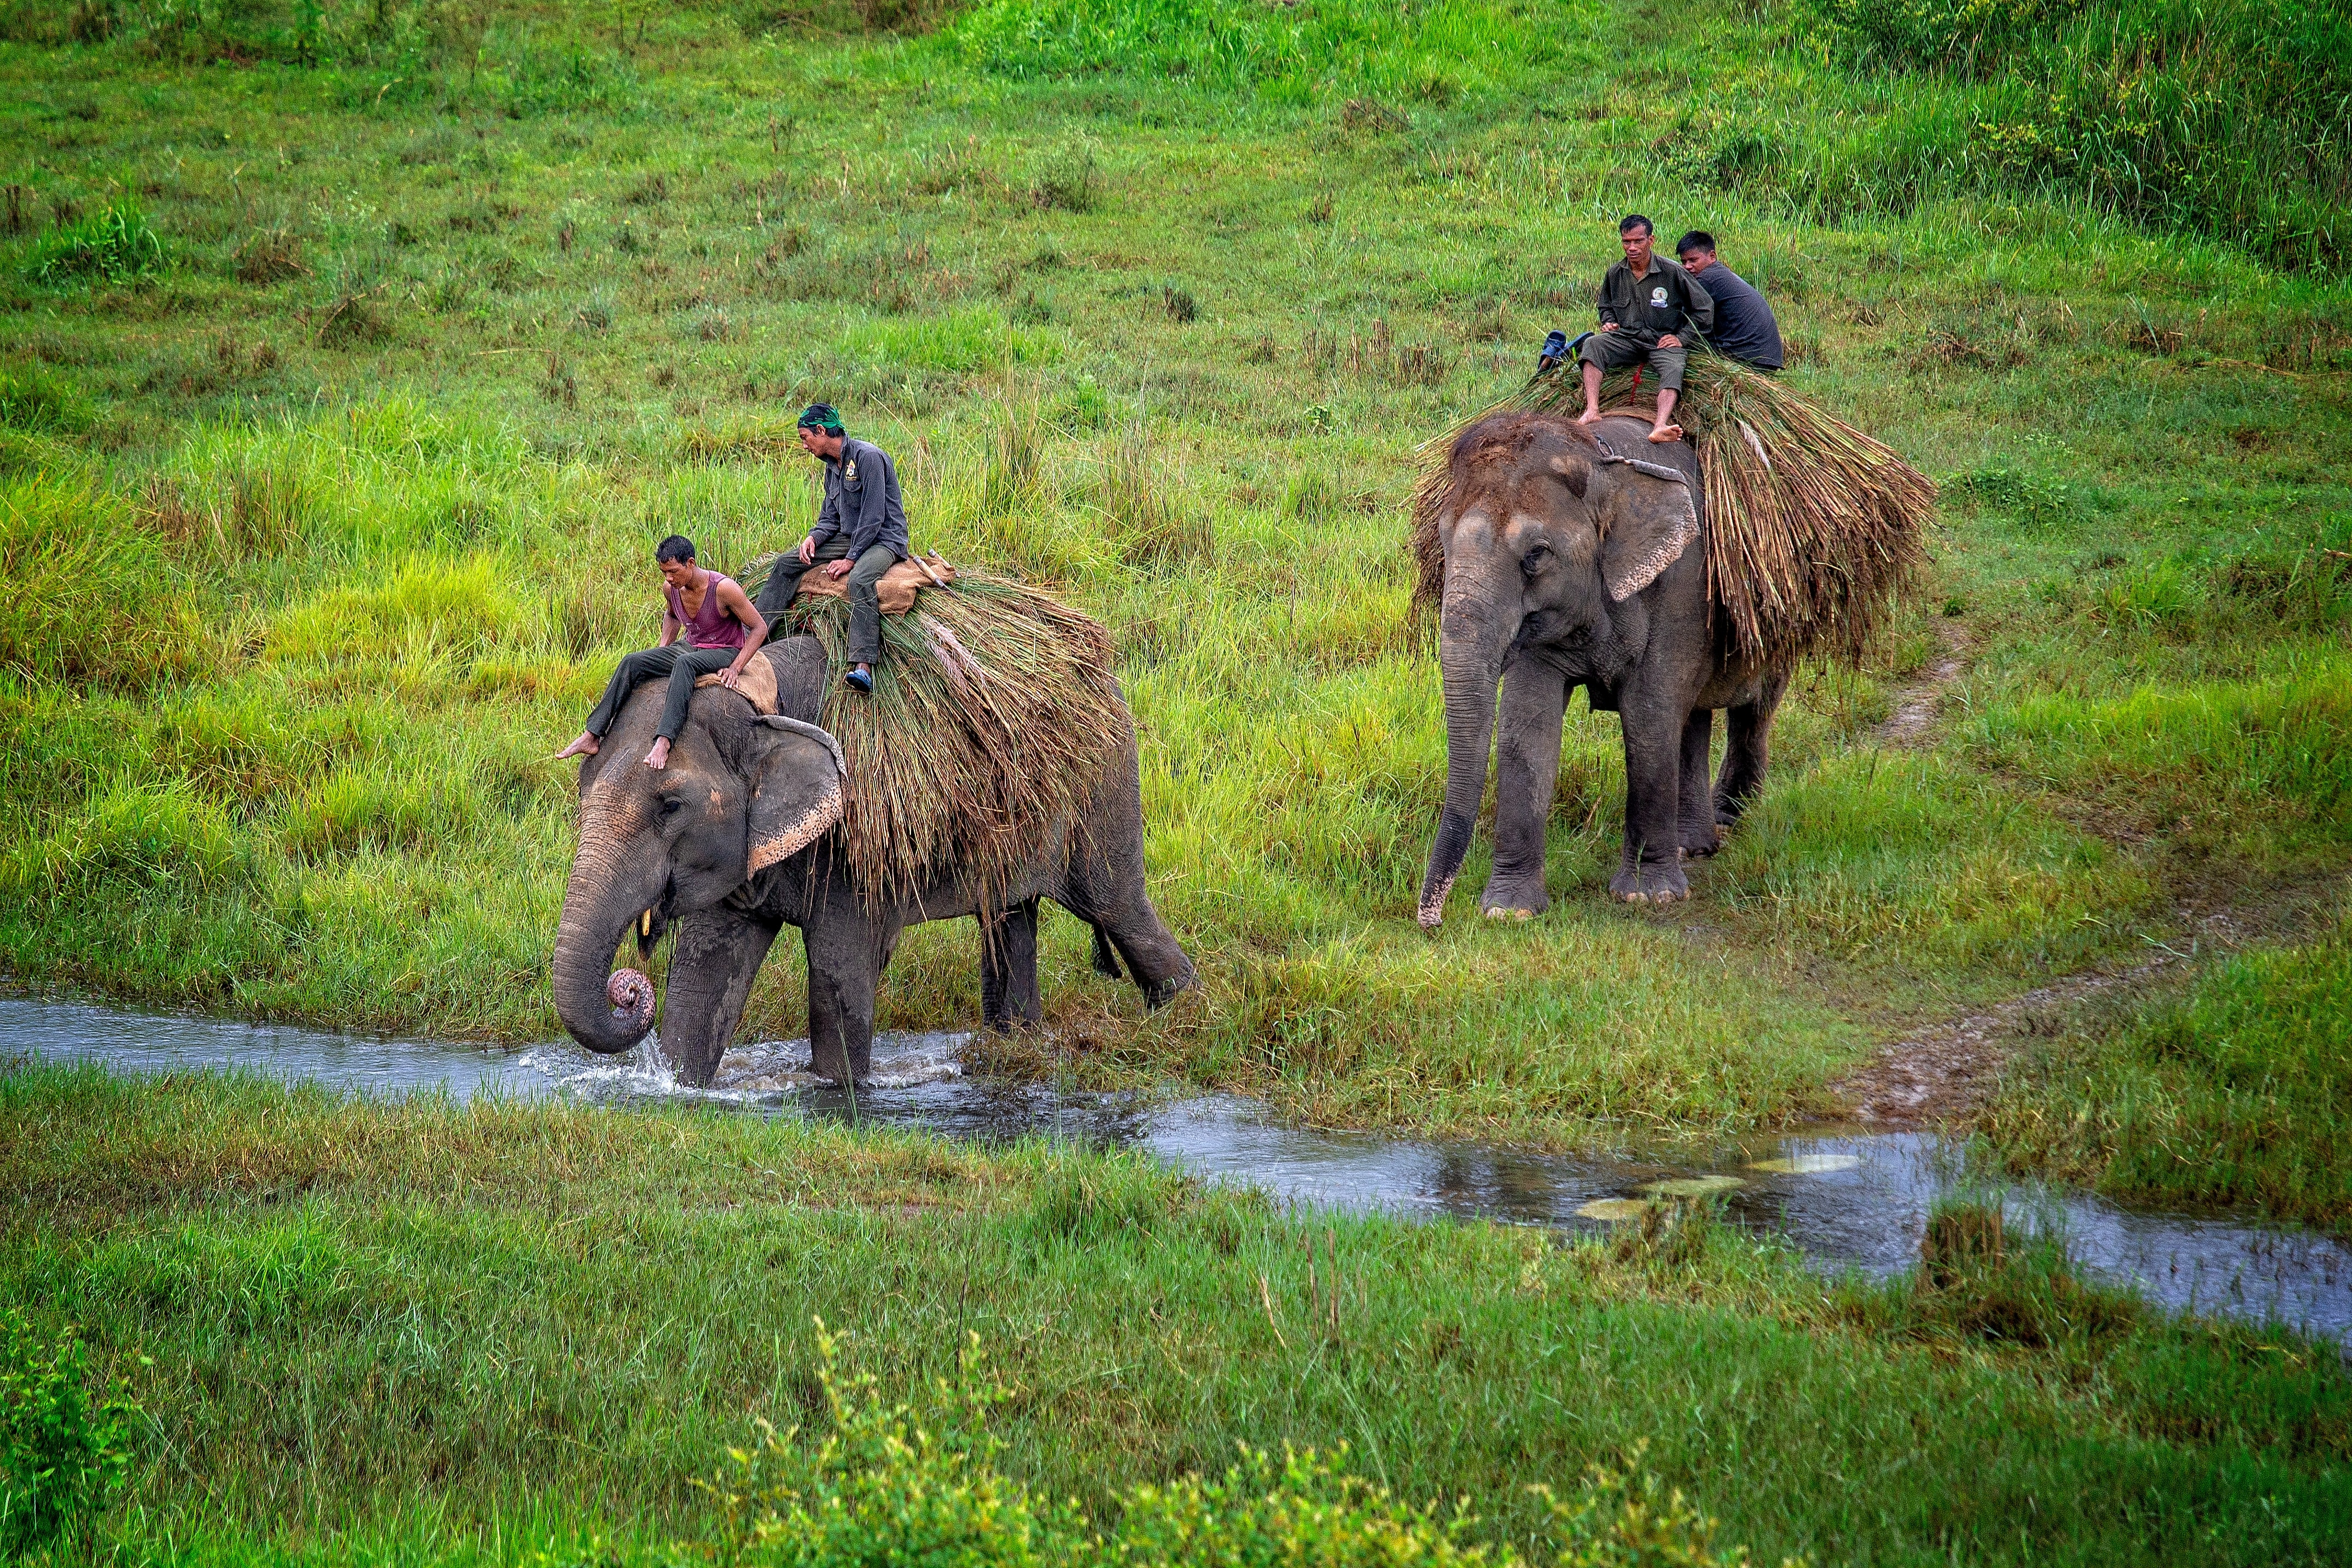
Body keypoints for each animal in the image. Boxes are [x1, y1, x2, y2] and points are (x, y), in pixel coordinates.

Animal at [550, 630, 1194, 1086]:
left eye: (670, 805)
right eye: (583, 785)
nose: (627, 989)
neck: (762, 700)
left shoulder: (856, 832)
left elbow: (838, 975)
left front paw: (839, 1091)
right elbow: (705, 972)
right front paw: (681, 1088)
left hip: (1103, 781)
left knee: (1117, 908)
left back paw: (1184, 1015)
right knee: (1011, 922)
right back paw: (1016, 1045)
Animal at [1420, 411, 1787, 926]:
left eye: (1535, 555)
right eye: (1441, 541)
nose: (1431, 920)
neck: (1601, 459)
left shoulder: (1683, 581)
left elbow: (1648, 715)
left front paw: (1648, 897)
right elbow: (1524, 727)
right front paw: (1509, 912)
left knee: (1752, 704)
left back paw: (1728, 818)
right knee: (1693, 716)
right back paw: (1694, 846)